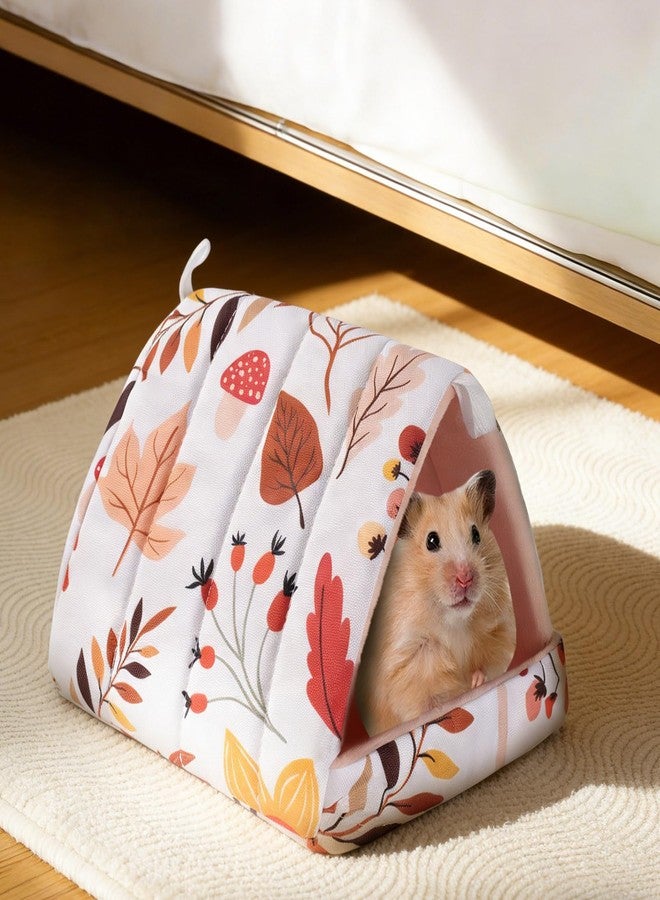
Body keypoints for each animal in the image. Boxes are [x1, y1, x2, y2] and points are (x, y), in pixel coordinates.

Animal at [357, 469, 515, 736]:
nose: (465, 579)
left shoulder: (499, 632)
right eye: (431, 541)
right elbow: (429, 701)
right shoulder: (411, 660)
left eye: (476, 534)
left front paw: (477, 681)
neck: (454, 621)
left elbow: (489, 665)